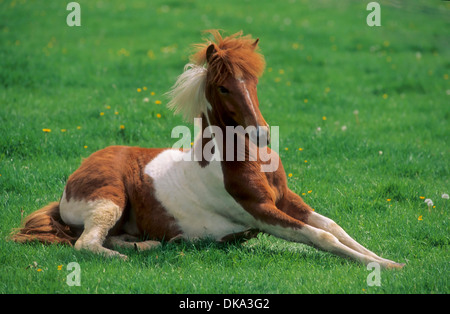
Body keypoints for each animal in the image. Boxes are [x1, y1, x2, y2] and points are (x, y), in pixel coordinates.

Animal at [11, 30, 404, 270]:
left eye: (254, 81)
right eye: (224, 87)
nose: (262, 134)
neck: (239, 158)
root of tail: (67, 188)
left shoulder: (285, 200)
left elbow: (334, 228)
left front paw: (390, 261)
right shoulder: (260, 212)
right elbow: (320, 236)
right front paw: (381, 267)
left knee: (112, 238)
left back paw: (149, 246)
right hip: (109, 197)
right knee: (87, 243)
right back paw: (130, 257)